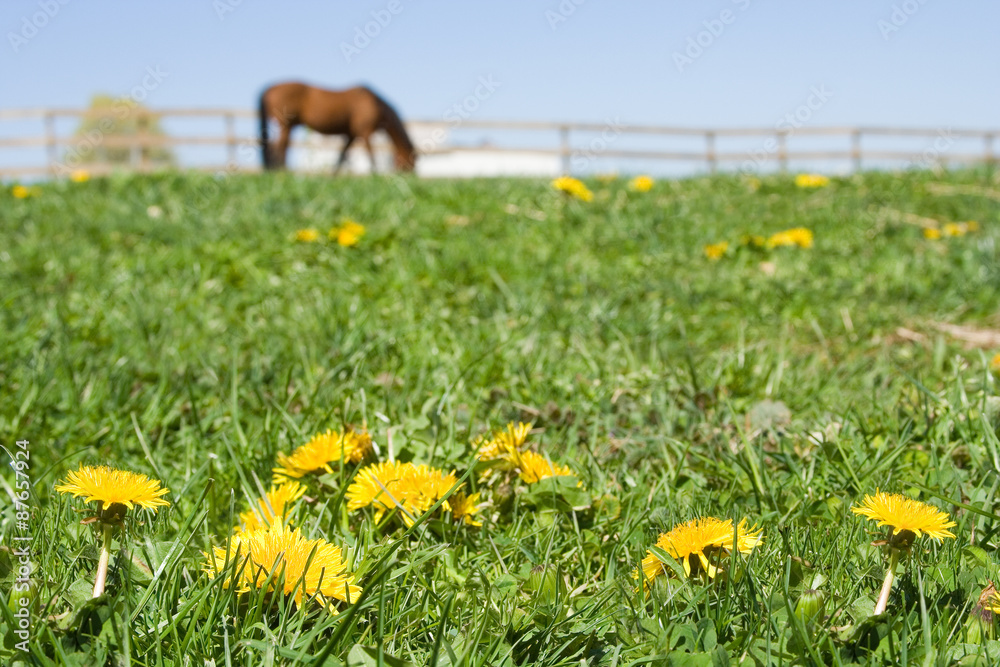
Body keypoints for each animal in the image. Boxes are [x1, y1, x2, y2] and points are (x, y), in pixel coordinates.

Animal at [258, 82, 417, 174]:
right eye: (412, 161)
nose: (411, 175)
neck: (377, 104)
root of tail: (270, 87)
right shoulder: (365, 132)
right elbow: (370, 155)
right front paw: (375, 173)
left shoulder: (351, 134)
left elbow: (341, 156)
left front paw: (333, 175)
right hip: (286, 124)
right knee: (280, 147)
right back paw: (280, 170)